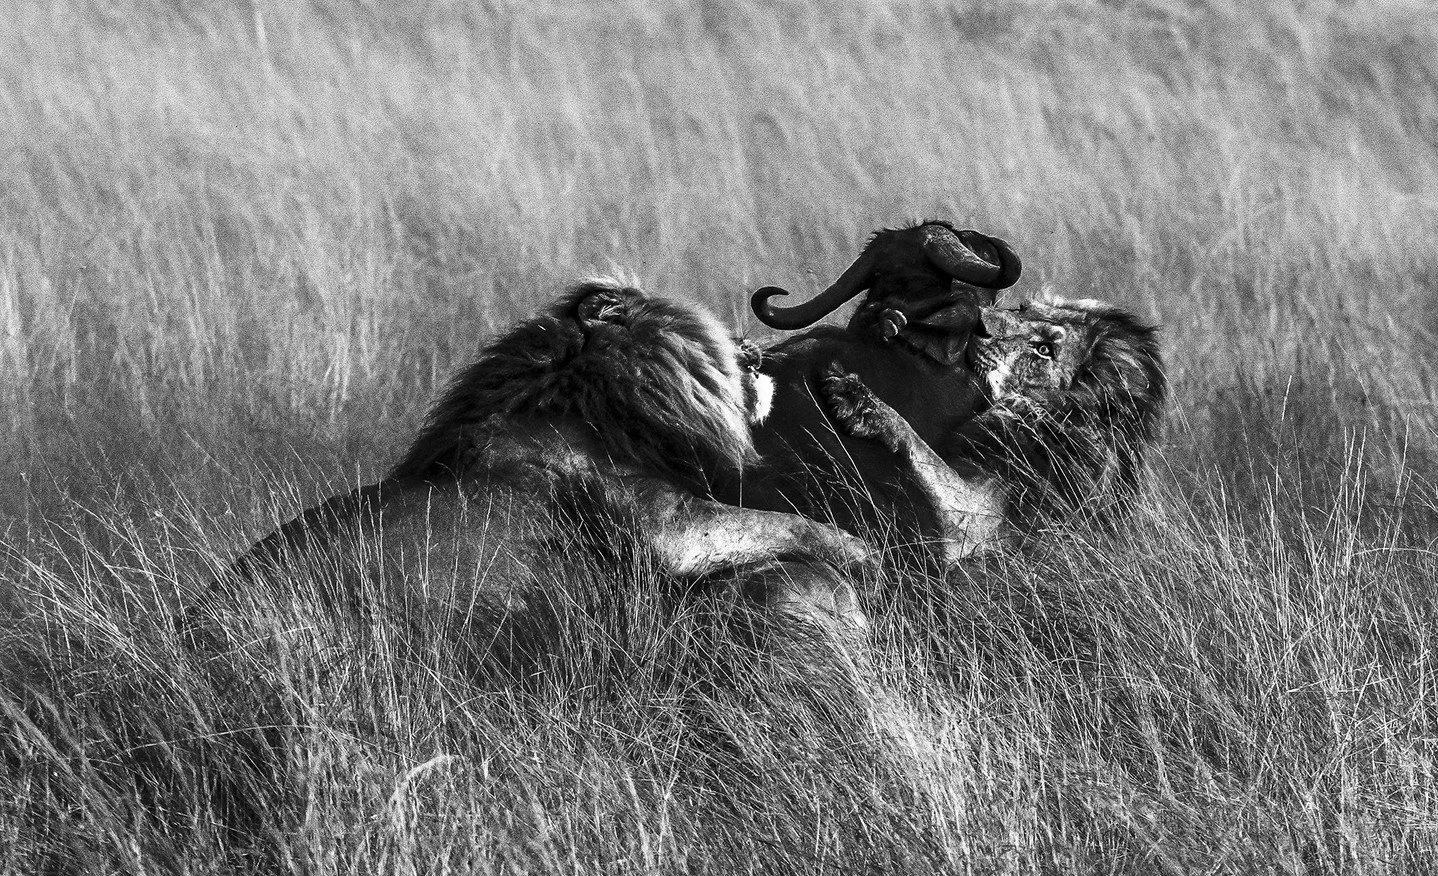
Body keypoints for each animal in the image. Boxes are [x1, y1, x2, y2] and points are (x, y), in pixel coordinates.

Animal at [819, 295, 1165, 565]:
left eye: (1044, 350)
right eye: (1023, 309)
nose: (979, 321)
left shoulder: (977, 530)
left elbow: (918, 446)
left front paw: (858, 400)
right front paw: (879, 317)